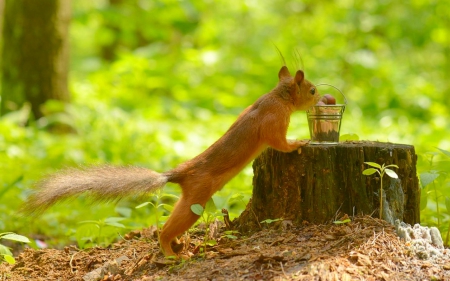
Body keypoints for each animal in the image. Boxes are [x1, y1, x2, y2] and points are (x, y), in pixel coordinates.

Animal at [23, 65, 320, 256]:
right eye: (313, 90)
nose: (322, 98)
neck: (277, 96)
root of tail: (179, 174)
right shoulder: (274, 121)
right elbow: (279, 143)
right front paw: (298, 143)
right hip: (197, 199)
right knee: (166, 229)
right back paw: (170, 251)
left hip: (190, 199)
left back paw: (178, 244)